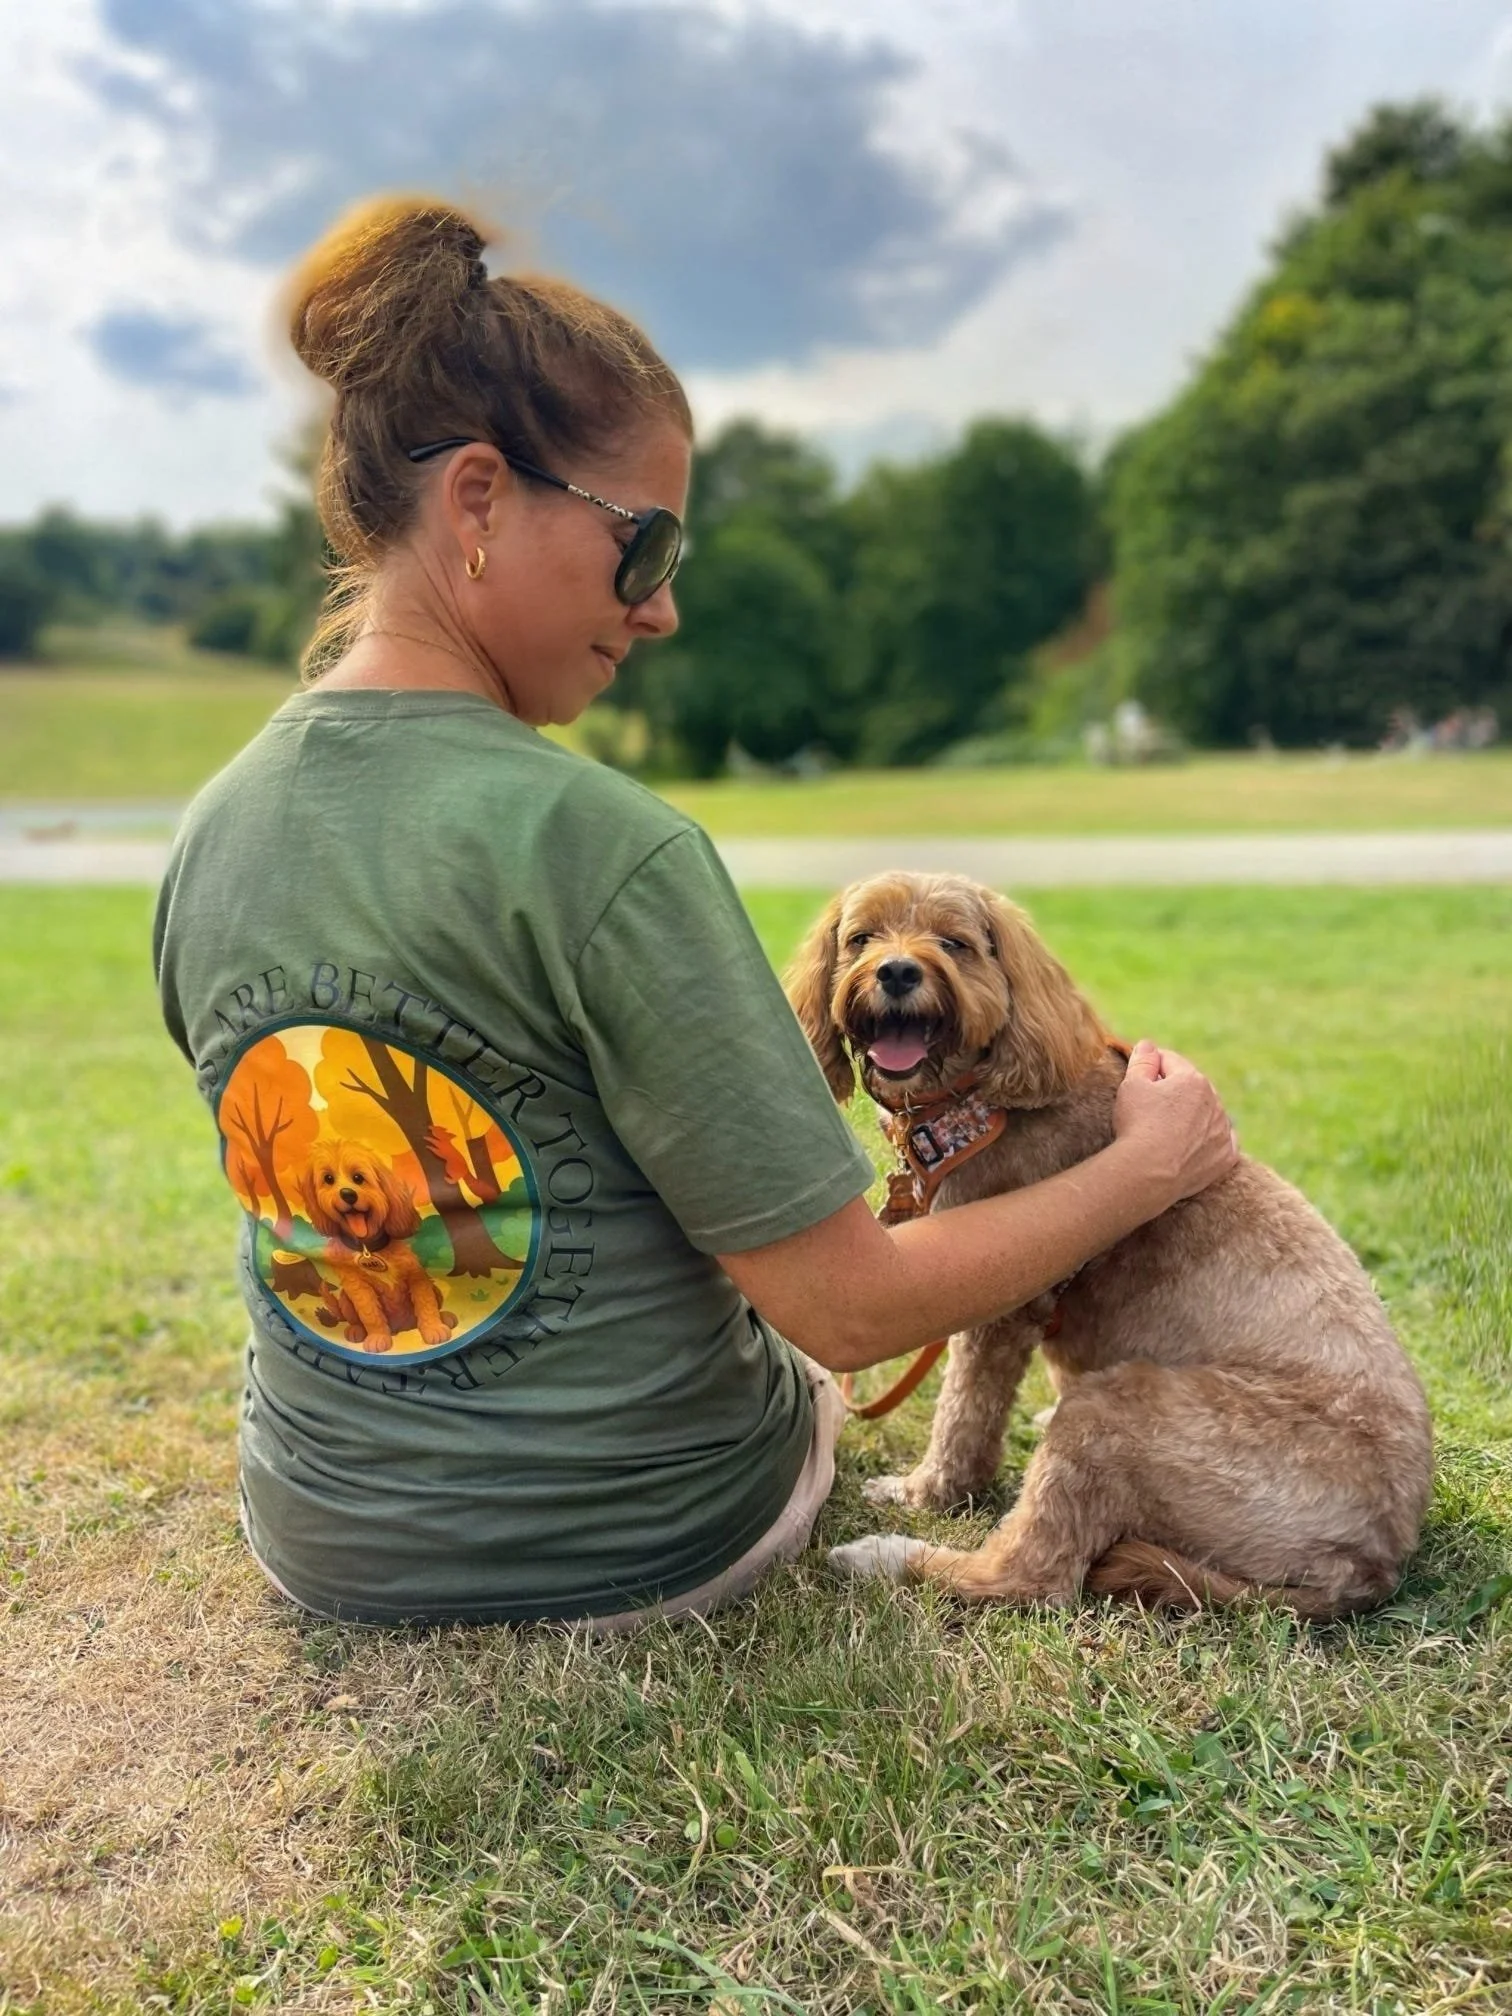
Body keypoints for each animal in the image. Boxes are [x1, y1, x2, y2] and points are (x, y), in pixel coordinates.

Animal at [296, 1140, 457, 1354]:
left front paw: (434, 1328)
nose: (348, 1194)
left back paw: (445, 1317)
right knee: (354, 1319)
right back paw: (356, 1331)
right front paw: (378, 1337)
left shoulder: (416, 1275)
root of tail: (402, 1328)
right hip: (346, 1298)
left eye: (358, 1178)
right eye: (328, 1179)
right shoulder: (357, 1286)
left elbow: (426, 1304)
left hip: (433, 1288)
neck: (368, 1248)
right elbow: (370, 1314)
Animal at [786, 873, 1432, 1617]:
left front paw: (928, 1491)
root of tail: (1372, 1562)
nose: (896, 970)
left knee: (1035, 1575)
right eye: (861, 938)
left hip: (1116, 1415)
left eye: (955, 943)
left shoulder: (1002, 1308)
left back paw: (888, 1559)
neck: (982, 1102)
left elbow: (964, 1414)